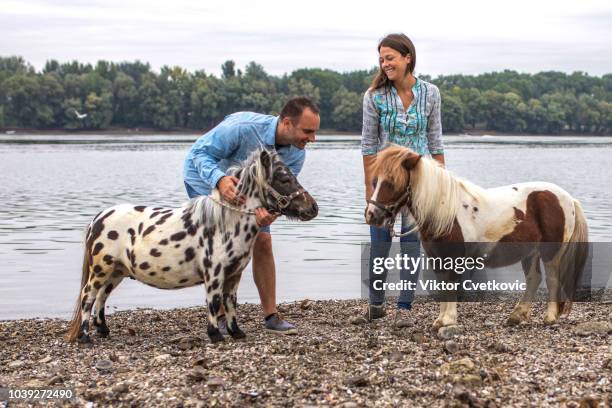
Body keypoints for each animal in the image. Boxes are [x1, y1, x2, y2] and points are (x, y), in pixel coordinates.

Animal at [67, 148, 318, 342]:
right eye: (284, 179)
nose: (313, 207)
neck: (226, 223)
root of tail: (97, 218)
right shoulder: (214, 274)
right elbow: (214, 302)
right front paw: (215, 335)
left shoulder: (233, 274)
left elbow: (230, 303)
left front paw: (236, 333)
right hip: (101, 270)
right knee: (88, 296)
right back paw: (85, 337)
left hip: (116, 272)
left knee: (101, 297)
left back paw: (103, 330)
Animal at [364, 145, 588, 330]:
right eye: (375, 182)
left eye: (391, 183)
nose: (371, 215)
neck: (445, 211)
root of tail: (569, 199)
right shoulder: (437, 259)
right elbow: (444, 286)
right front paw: (440, 320)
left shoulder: (454, 258)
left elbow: (452, 285)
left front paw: (448, 320)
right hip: (530, 251)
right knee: (534, 278)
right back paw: (516, 315)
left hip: (550, 252)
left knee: (551, 279)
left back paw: (549, 317)